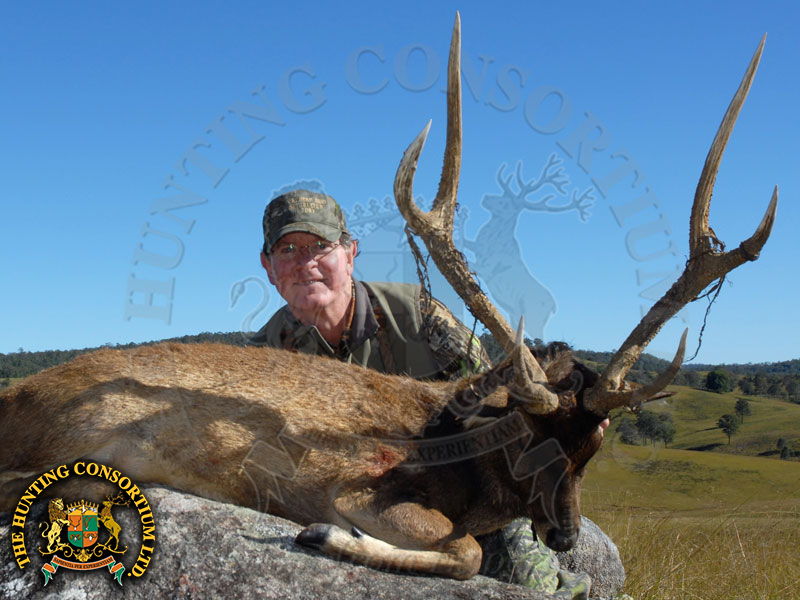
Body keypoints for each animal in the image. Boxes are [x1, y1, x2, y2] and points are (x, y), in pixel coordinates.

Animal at [0, 13, 776, 581]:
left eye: (595, 446)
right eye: (529, 439)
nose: (563, 535)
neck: (456, 449)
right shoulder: (357, 487)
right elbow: (464, 552)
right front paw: (324, 537)